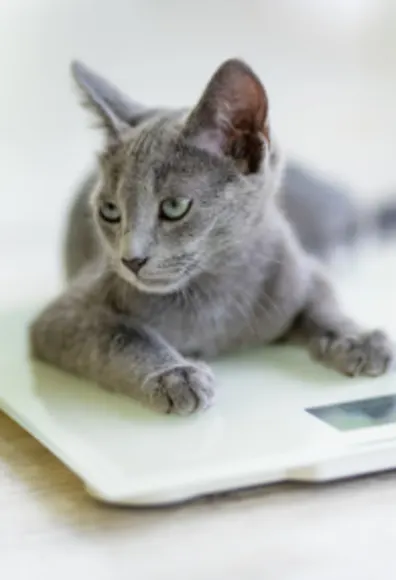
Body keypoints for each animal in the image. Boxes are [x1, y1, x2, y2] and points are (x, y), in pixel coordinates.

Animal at [30, 59, 392, 414]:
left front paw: (358, 338)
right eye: (109, 211)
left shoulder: (299, 269)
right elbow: (123, 336)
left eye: (175, 206)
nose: (130, 259)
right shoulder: (64, 315)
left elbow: (323, 301)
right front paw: (175, 375)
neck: (216, 294)